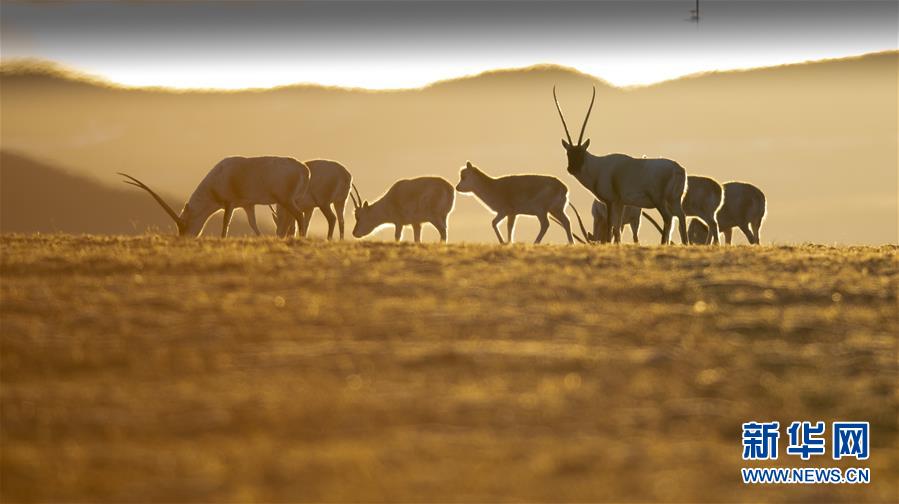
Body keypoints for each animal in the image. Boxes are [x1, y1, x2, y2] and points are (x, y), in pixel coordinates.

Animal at [120, 156, 310, 238]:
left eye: (183, 224)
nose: (185, 239)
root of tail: (304, 169)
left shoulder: (229, 203)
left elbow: (225, 223)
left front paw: (222, 239)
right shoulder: (247, 205)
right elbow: (253, 224)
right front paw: (260, 238)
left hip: (286, 200)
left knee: (299, 216)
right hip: (287, 202)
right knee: (294, 219)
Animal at [552, 86, 692, 244]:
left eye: (581, 153)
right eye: (568, 153)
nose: (572, 169)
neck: (597, 168)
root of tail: (678, 169)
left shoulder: (610, 202)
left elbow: (610, 227)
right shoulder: (621, 203)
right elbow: (617, 228)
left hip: (659, 200)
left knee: (668, 218)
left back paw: (663, 244)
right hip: (674, 200)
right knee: (681, 216)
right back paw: (685, 243)